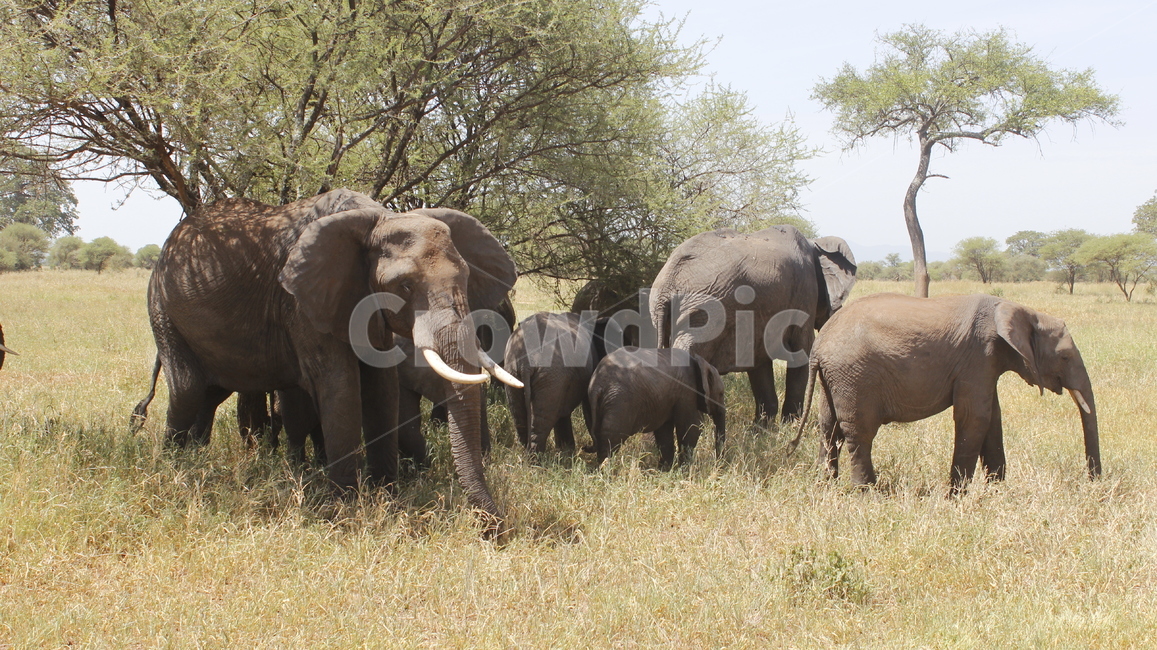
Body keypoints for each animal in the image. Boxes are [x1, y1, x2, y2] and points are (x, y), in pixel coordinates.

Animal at [145, 188, 519, 528]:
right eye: (404, 286)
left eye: (467, 278)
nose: (497, 531)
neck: (379, 218)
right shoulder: (301, 302)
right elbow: (341, 387)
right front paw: (346, 510)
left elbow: (381, 387)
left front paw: (387, 497)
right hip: (161, 306)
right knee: (187, 388)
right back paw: (175, 467)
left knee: (208, 392)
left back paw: (196, 459)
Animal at [504, 312, 613, 456]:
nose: (585, 447)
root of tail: (526, 362)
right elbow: (587, 404)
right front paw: (568, 451)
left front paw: (565, 450)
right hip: (551, 375)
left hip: (513, 370)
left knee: (520, 417)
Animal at [588, 347, 726, 469]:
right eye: (721, 394)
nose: (719, 465)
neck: (699, 362)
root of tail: (598, 384)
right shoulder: (687, 391)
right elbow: (690, 429)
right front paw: (683, 470)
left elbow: (664, 432)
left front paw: (665, 470)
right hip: (620, 402)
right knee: (612, 437)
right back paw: (606, 472)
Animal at [649, 225, 856, 425]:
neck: (815, 243)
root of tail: (667, 285)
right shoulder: (804, 293)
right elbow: (800, 352)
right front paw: (790, 425)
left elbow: (759, 364)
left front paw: (762, 428)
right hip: (705, 312)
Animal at [793, 293, 1101, 490]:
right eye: (1064, 358)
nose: (1094, 483)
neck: (1020, 309)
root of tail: (819, 346)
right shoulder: (978, 356)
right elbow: (974, 418)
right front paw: (957, 496)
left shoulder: (986, 364)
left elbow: (992, 420)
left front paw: (997, 492)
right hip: (855, 376)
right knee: (859, 432)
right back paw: (866, 492)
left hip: (835, 377)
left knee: (829, 428)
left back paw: (825, 485)